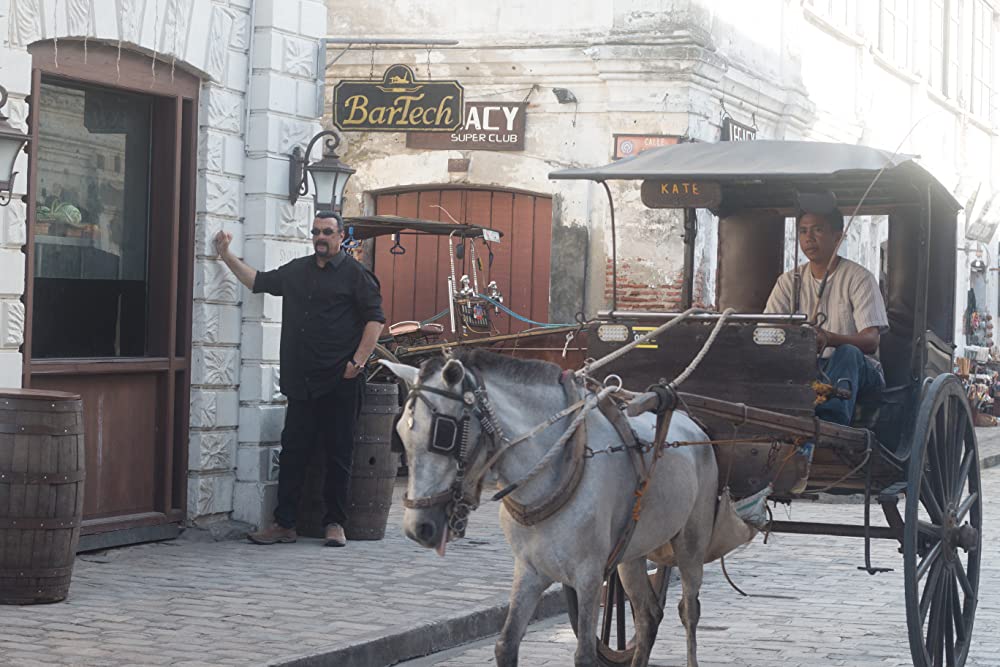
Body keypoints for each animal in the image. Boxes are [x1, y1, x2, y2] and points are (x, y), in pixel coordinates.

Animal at [380, 350, 720, 667]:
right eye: (400, 433)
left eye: (444, 433)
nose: (418, 527)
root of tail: (694, 425)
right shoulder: (529, 570)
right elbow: (505, 645)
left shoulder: (589, 575)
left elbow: (585, 654)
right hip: (631, 553)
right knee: (648, 615)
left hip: (690, 543)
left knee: (689, 610)